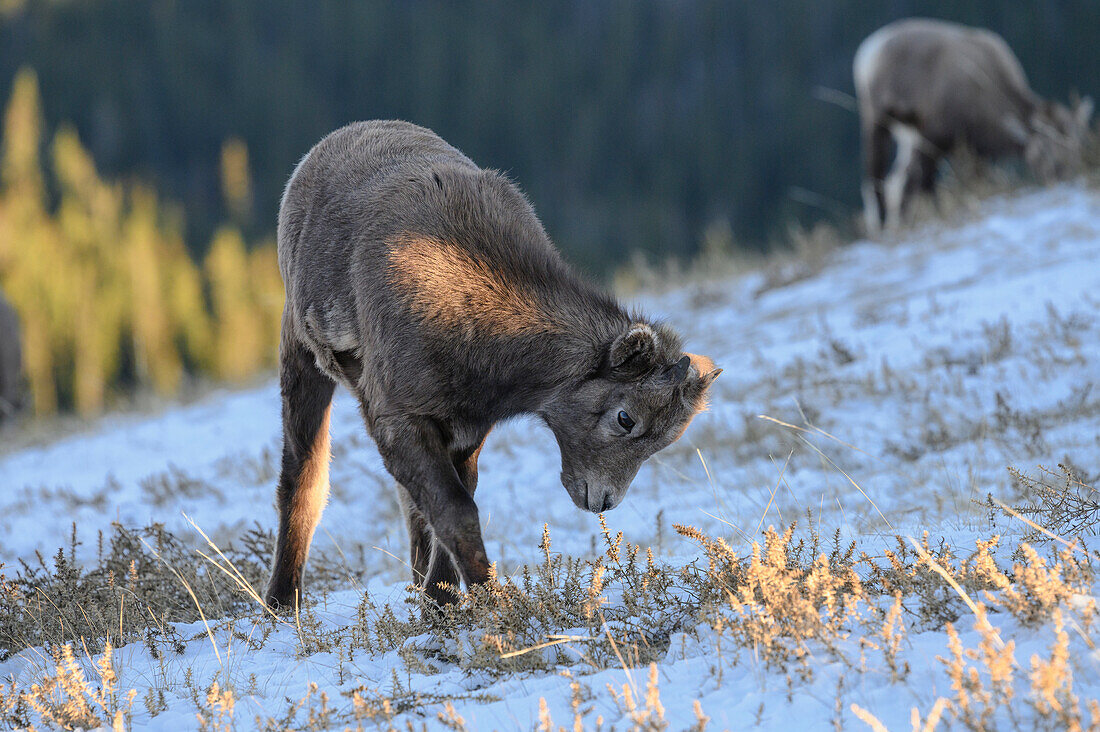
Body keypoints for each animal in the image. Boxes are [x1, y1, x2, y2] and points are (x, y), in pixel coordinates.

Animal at [266, 121, 721, 612]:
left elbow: (450, 508)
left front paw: (440, 603)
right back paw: (281, 603)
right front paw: (492, 605)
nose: (602, 501)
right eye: (625, 418)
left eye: (664, 441)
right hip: (302, 358)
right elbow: (457, 513)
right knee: (304, 480)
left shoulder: (466, 430)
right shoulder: (398, 418)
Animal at [853, 18, 1086, 230]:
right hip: (878, 118)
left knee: (896, 180)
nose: (1062, 174)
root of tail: (867, 52)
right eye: (1042, 150)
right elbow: (924, 183)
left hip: (907, 134)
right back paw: (882, 223)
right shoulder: (935, 137)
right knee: (878, 175)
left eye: (1076, 146)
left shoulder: (975, 152)